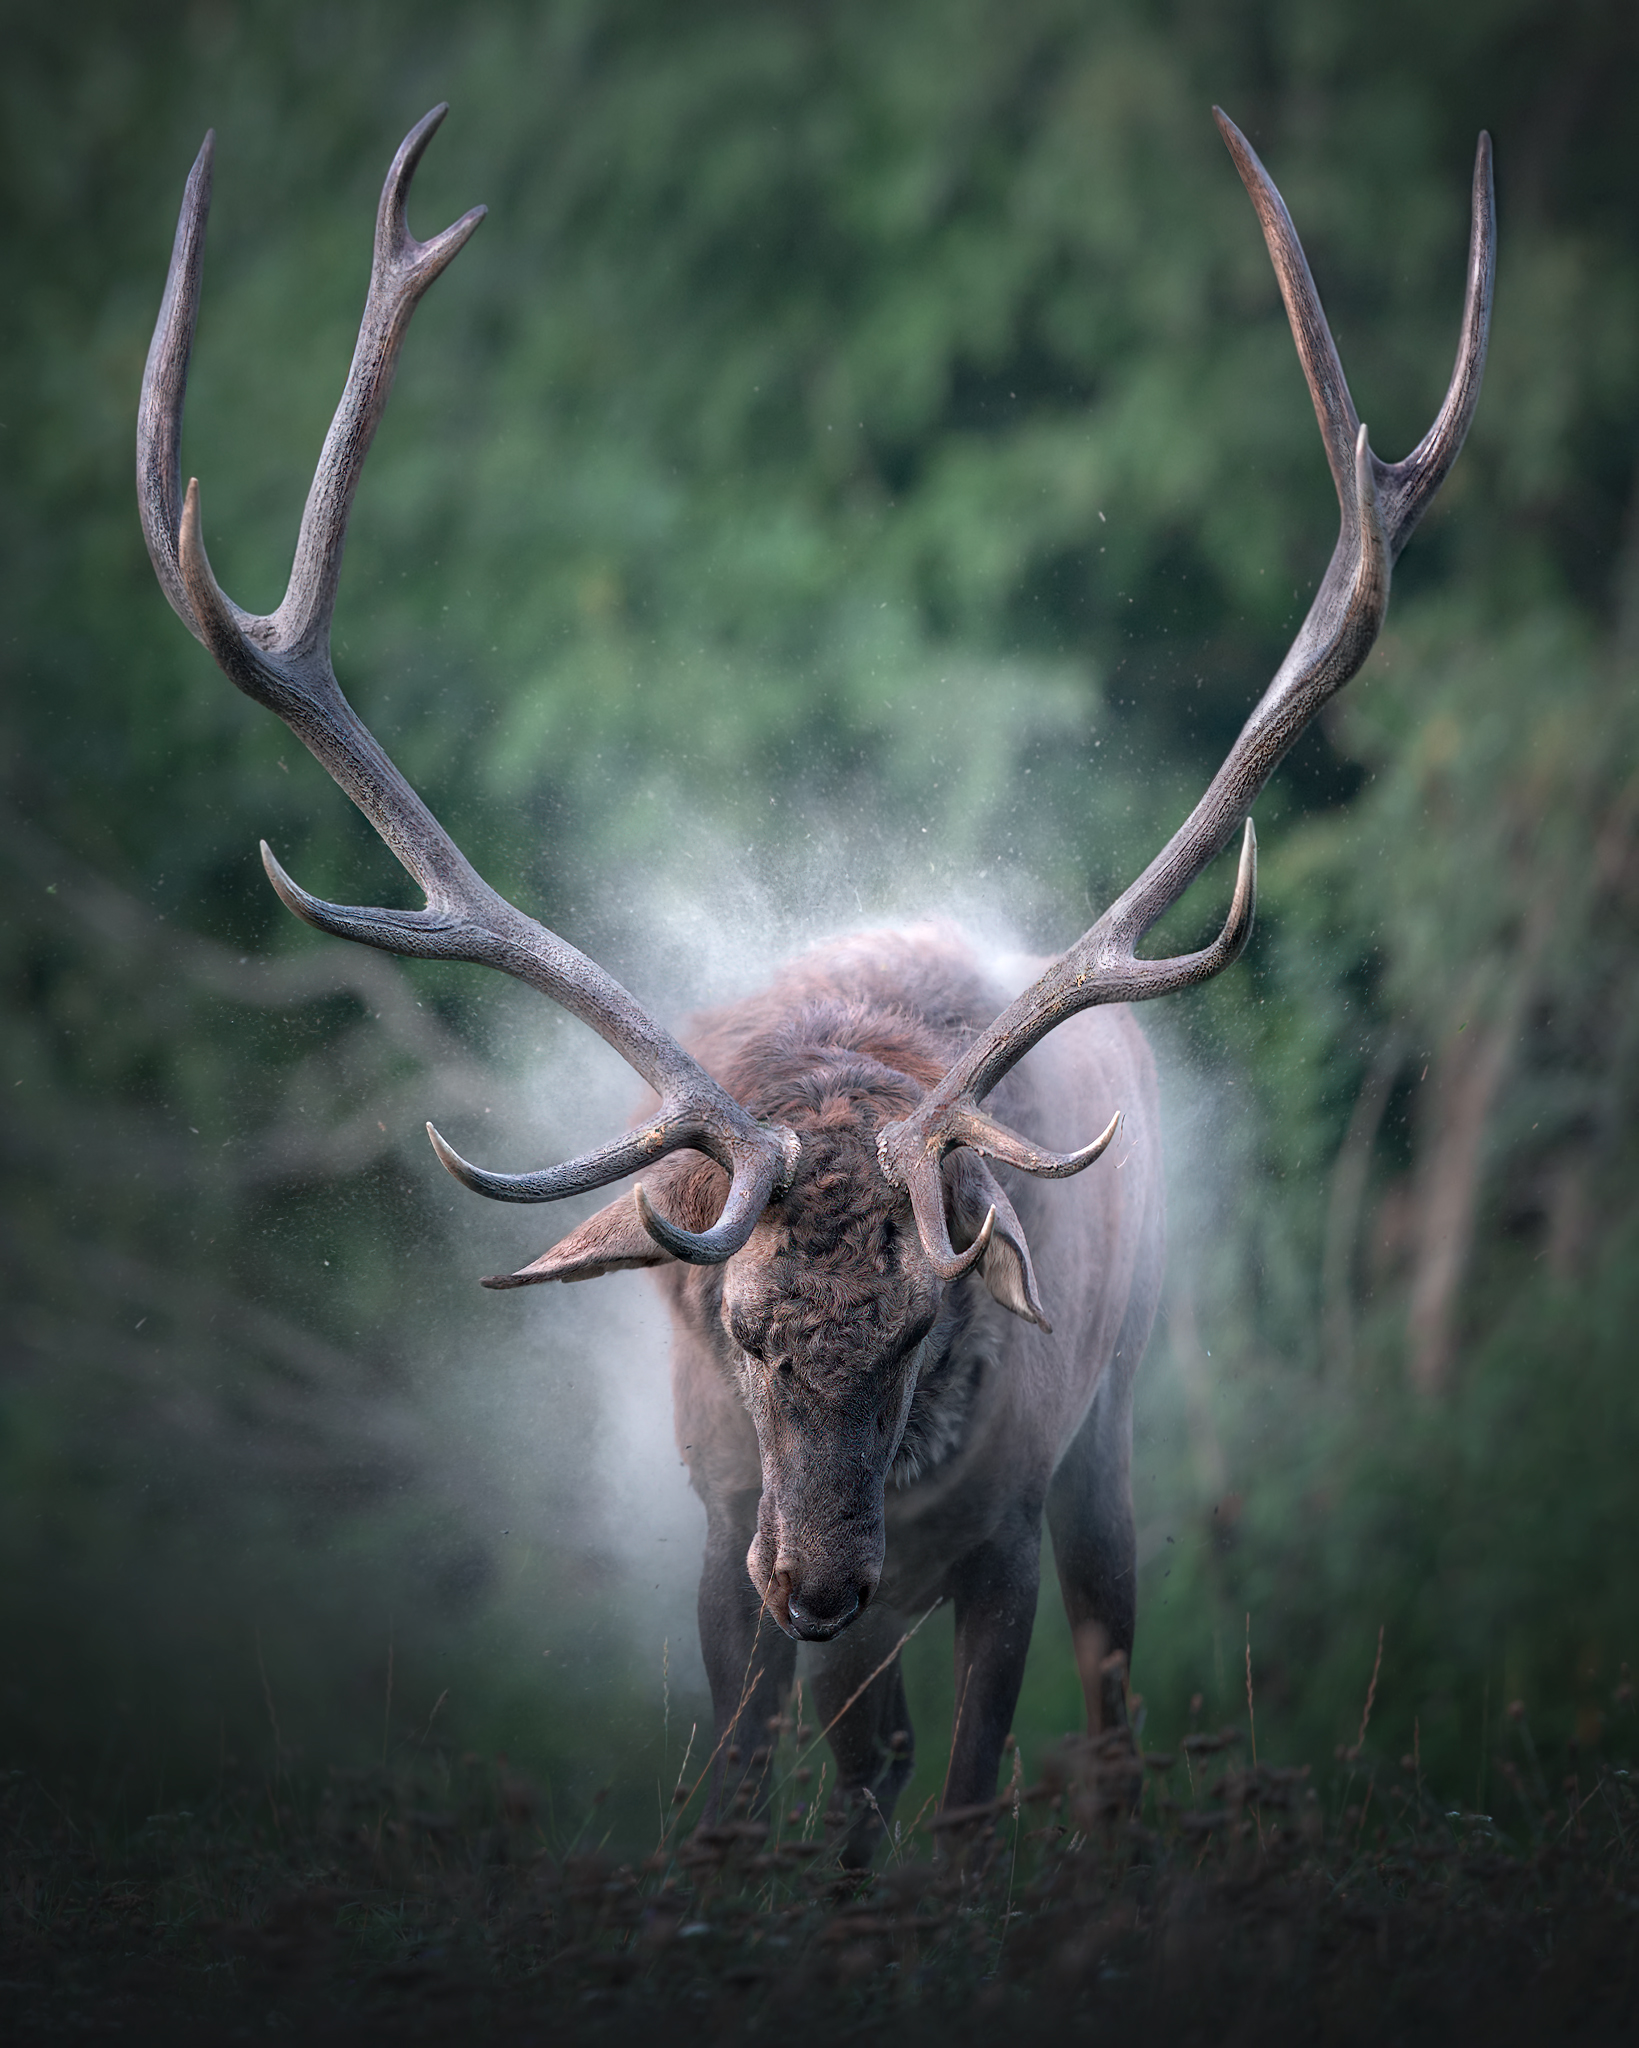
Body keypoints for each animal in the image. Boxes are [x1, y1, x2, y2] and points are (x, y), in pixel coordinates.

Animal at [139, 105, 1492, 1862]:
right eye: (740, 1326)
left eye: (925, 1325)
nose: (817, 1580)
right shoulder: (719, 1517)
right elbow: (747, 1783)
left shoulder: (992, 1524)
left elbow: (971, 1795)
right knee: (870, 1740)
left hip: (1114, 1411)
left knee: (1109, 1661)